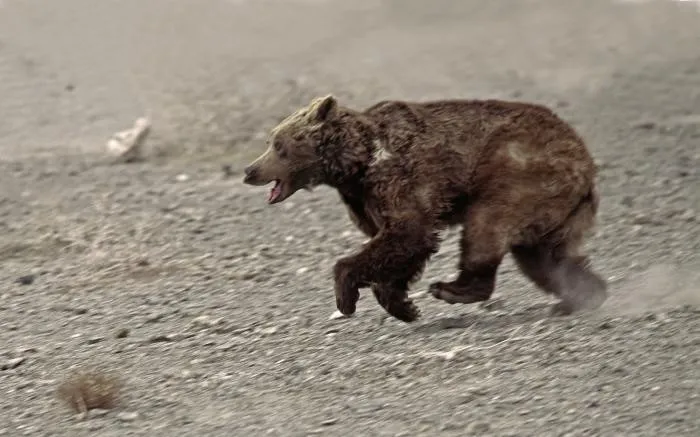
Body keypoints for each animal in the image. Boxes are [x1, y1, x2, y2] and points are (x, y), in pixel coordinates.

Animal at [245, 94, 608, 320]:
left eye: (278, 145)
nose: (250, 170)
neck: (355, 166)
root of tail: (585, 162)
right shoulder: (364, 200)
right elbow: (396, 247)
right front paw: (401, 305)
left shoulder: (400, 178)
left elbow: (409, 232)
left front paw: (346, 298)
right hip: (554, 208)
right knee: (545, 258)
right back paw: (581, 295)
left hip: (519, 171)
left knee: (487, 225)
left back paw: (452, 288)